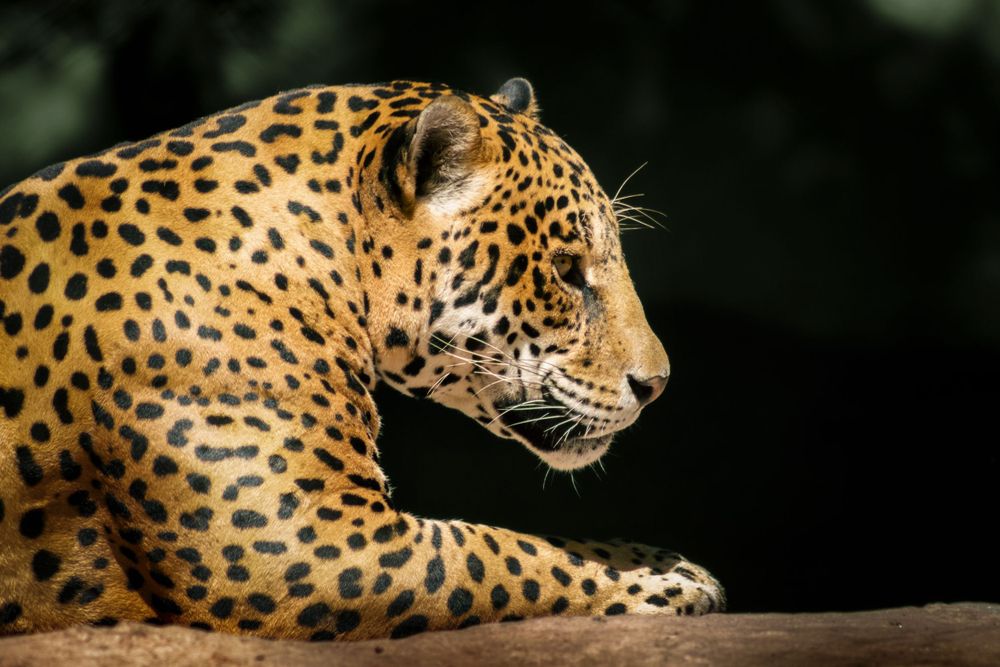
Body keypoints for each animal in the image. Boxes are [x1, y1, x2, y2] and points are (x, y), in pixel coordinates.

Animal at [0, 77, 724, 639]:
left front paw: (652, 557)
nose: (657, 384)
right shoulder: (305, 543)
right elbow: (497, 552)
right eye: (567, 271)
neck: (322, 253)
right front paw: (659, 581)